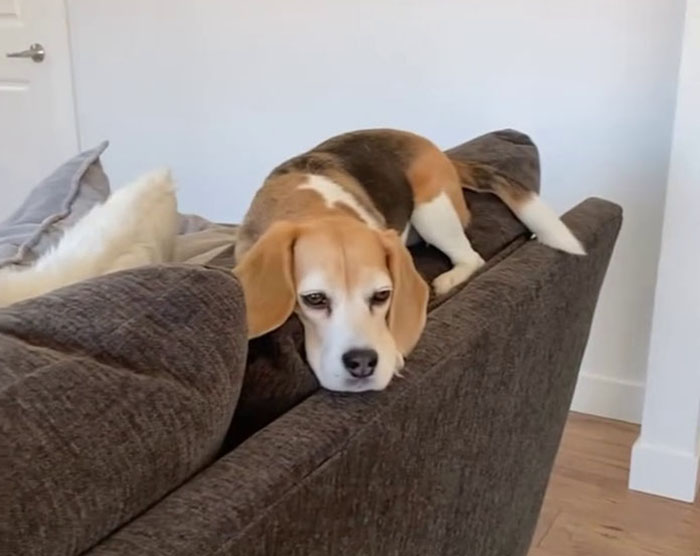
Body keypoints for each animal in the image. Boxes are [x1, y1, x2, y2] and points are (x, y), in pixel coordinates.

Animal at [235, 129, 584, 390]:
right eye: (315, 299)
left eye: (382, 296)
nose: (363, 363)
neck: (317, 206)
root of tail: (436, 149)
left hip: (433, 211)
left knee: (471, 257)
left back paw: (449, 279)